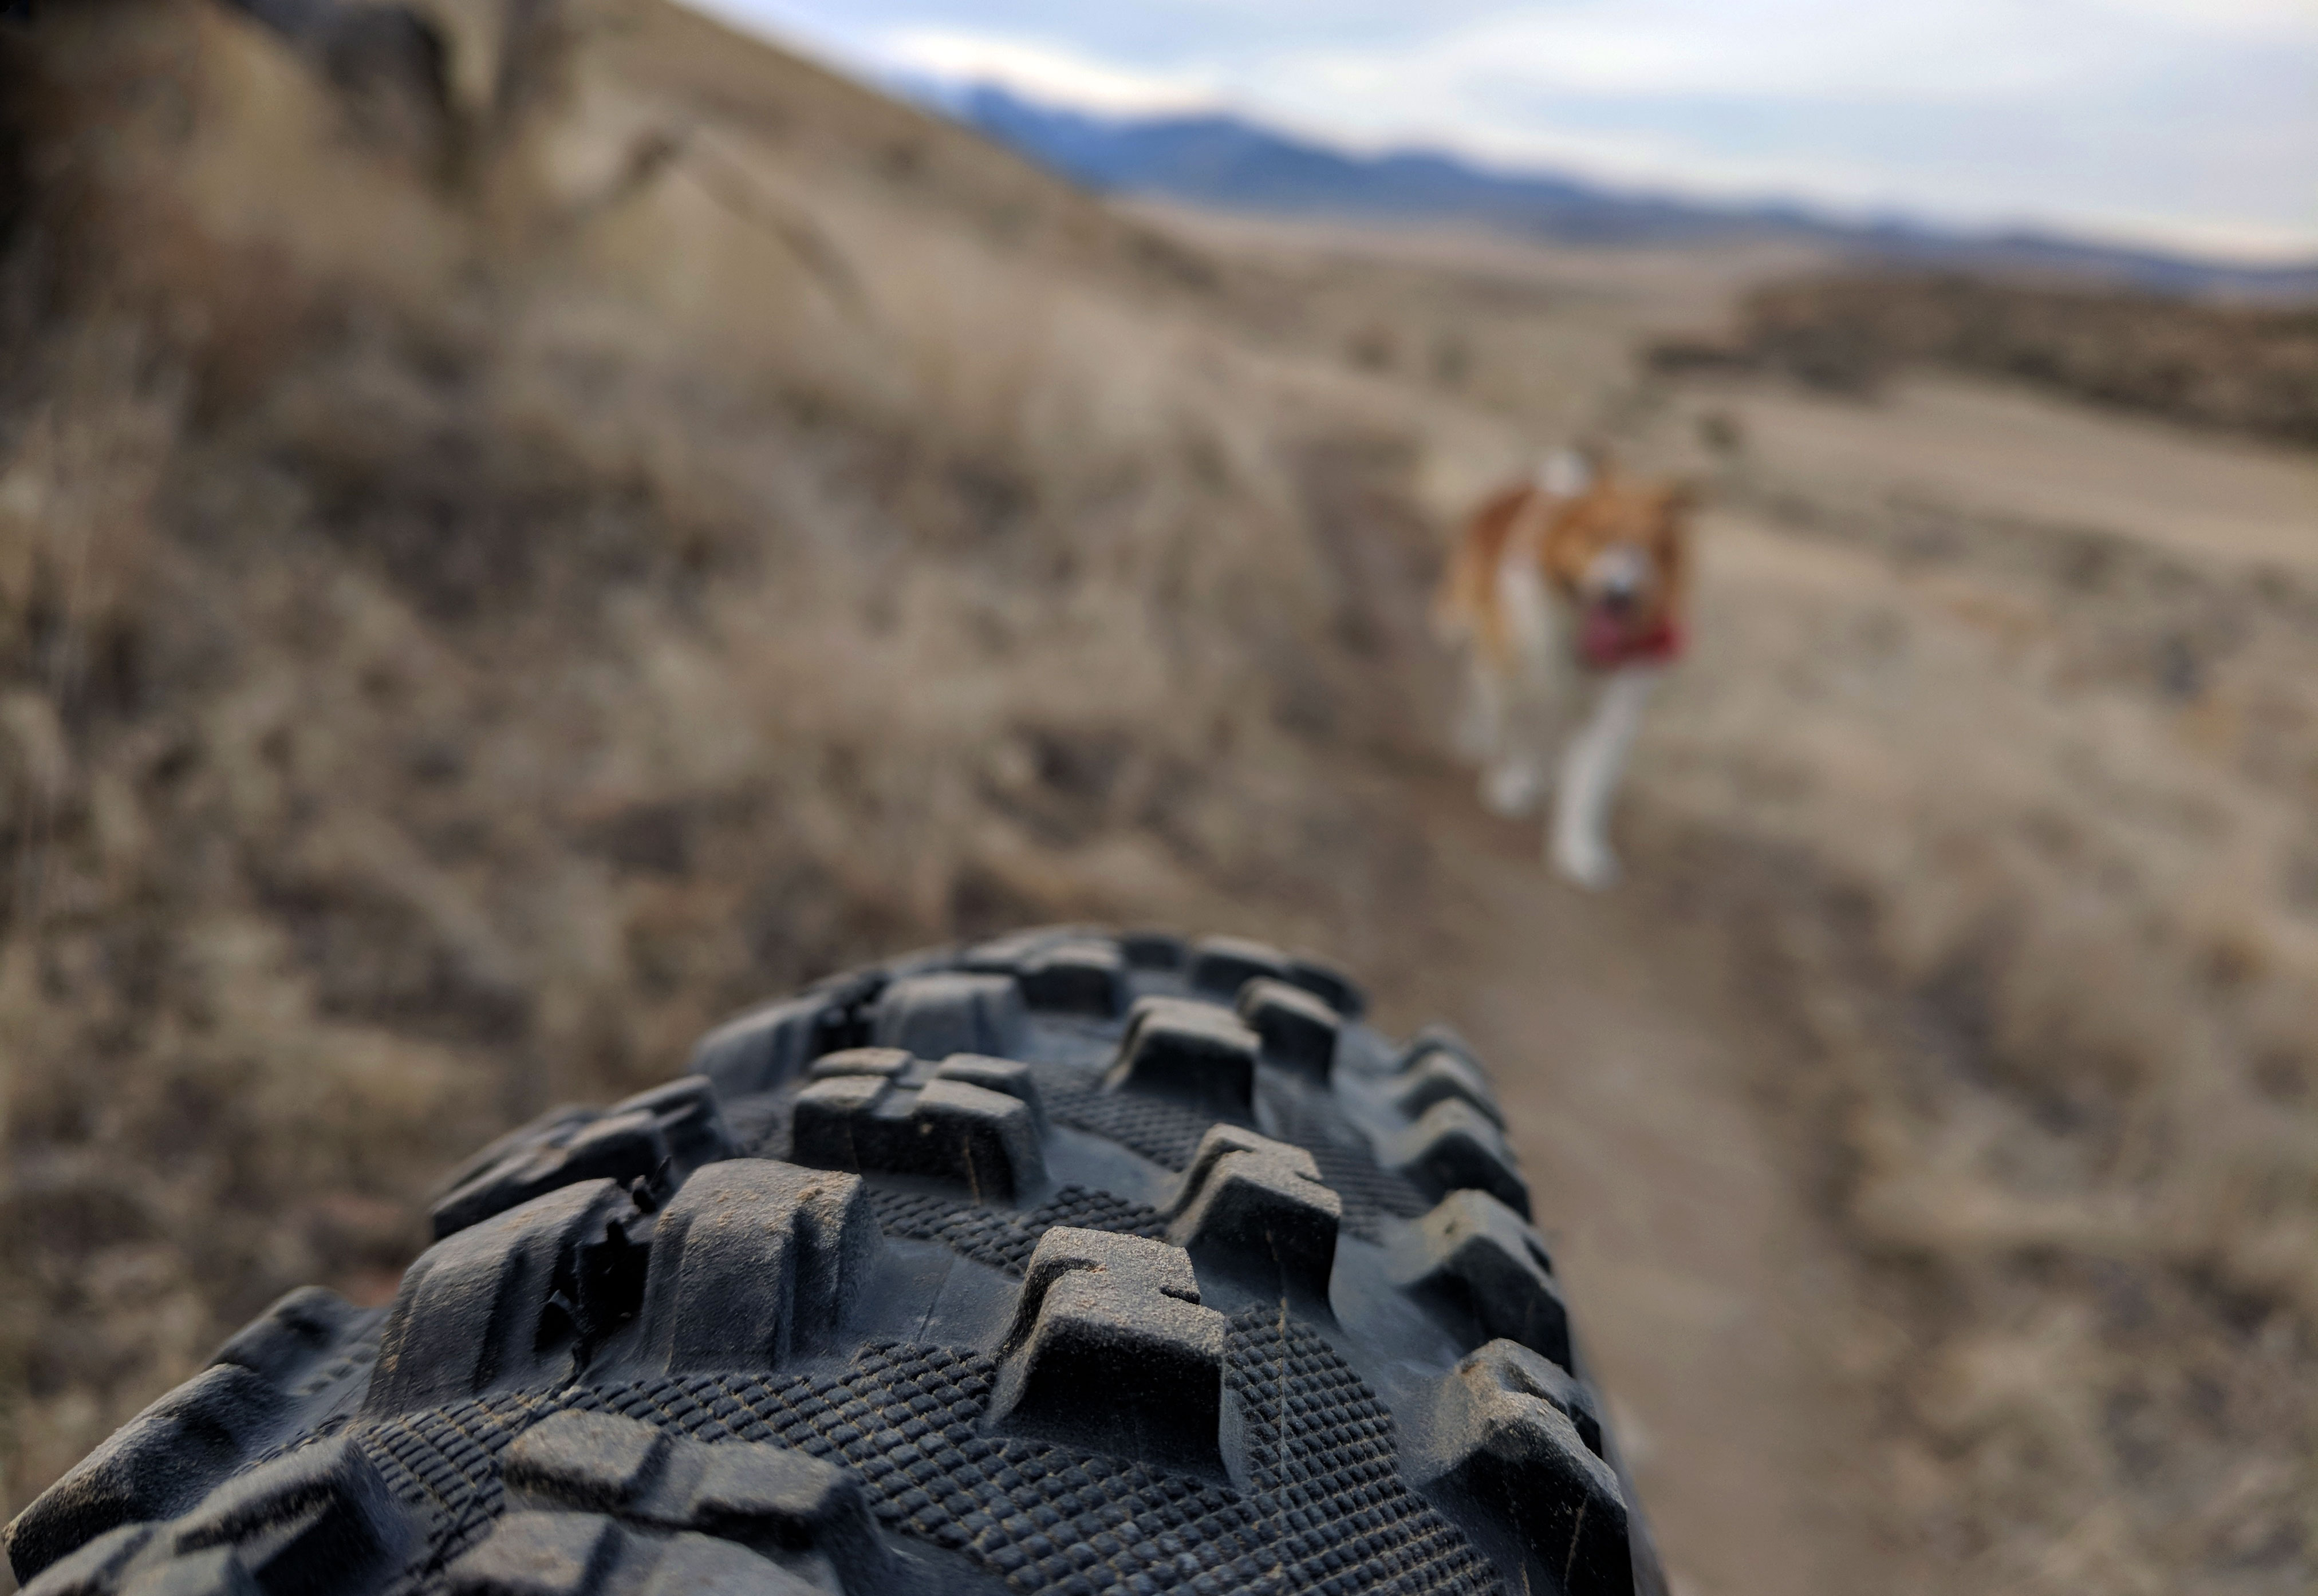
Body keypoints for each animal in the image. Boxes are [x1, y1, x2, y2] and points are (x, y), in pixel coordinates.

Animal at [1418, 449, 1697, 889]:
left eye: (1645, 550)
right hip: (1470, 625)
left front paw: (1578, 853)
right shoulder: (1518, 672)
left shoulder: (1612, 709)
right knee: (1478, 683)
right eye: (1598, 536)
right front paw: (1512, 783)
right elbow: (1518, 733)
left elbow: (1589, 784)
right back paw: (1478, 737)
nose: (1619, 595)